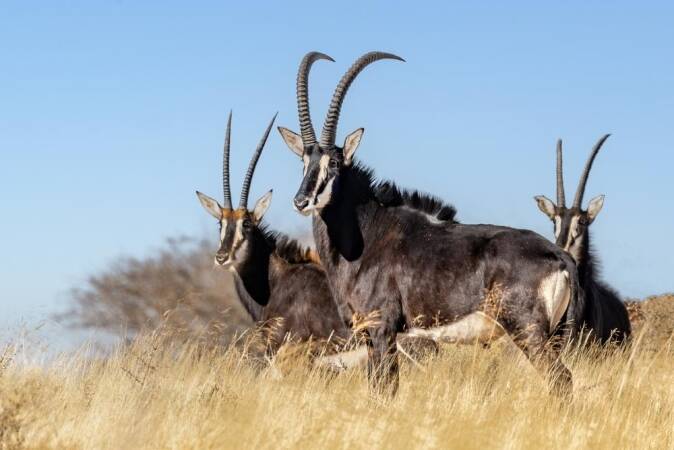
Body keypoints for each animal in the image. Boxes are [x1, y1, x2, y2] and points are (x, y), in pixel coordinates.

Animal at [278, 51, 584, 396]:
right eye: (304, 161)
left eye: (333, 162)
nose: (301, 201)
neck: (368, 235)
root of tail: (560, 257)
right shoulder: (370, 337)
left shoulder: (382, 329)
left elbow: (386, 388)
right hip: (551, 334)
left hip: (527, 330)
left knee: (561, 379)